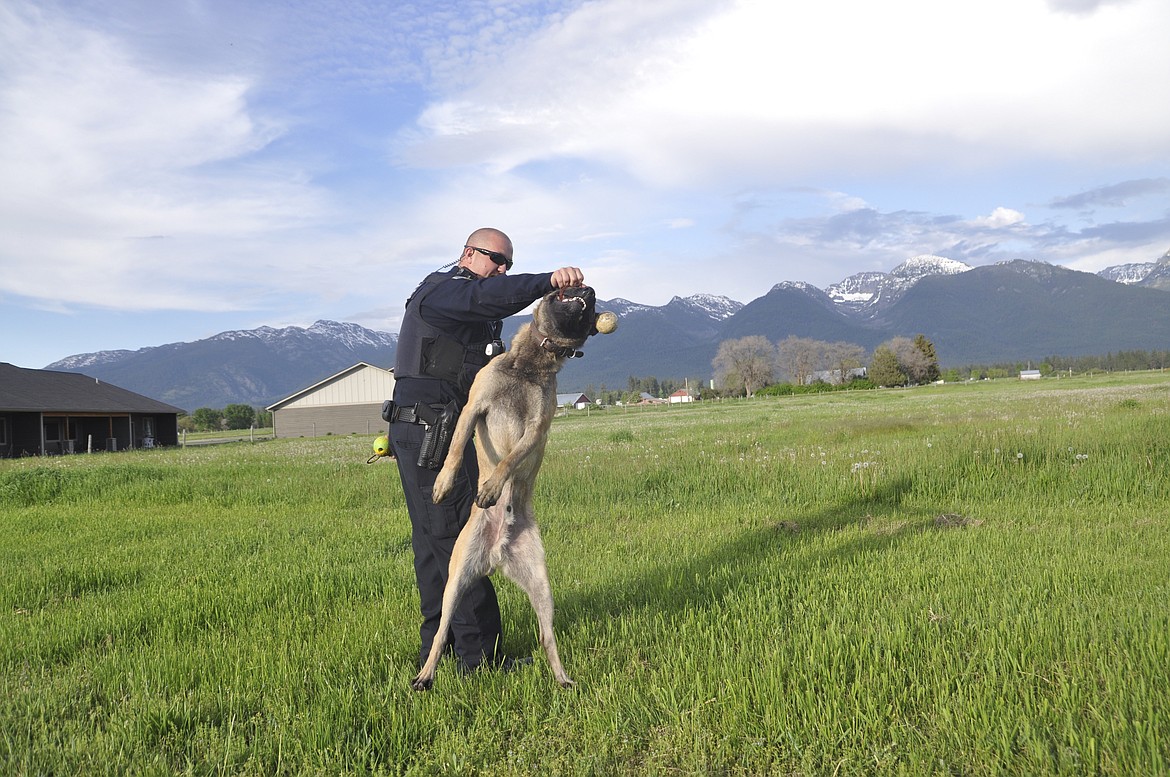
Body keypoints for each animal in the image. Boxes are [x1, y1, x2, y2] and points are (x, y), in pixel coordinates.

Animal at [414, 285, 603, 692]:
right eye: (564, 288)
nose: (588, 287)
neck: (531, 365)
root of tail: (497, 552)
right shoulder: (472, 407)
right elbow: (455, 449)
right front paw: (443, 483)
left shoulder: (536, 429)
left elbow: (510, 459)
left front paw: (492, 486)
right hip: (456, 581)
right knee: (440, 632)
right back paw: (424, 675)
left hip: (542, 586)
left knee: (547, 636)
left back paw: (563, 679)